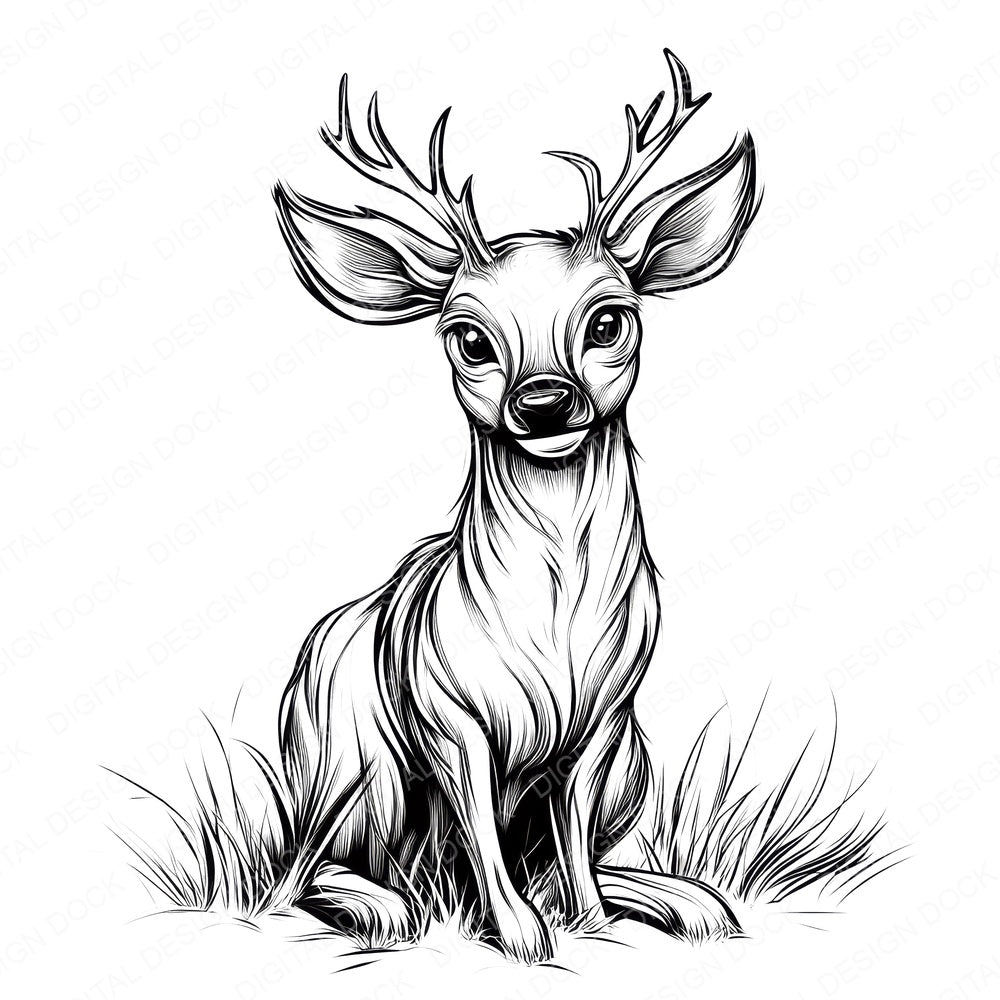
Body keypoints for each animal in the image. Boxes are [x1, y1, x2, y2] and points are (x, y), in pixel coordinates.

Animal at [272, 49, 759, 963]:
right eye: (469, 338)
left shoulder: (608, 722)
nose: (544, 401)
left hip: (637, 769)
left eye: (610, 321)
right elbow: (484, 844)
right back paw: (386, 909)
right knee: (309, 868)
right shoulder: (448, 718)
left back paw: (695, 904)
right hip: (353, 766)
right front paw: (524, 939)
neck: (554, 622)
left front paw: (595, 926)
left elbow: (571, 842)